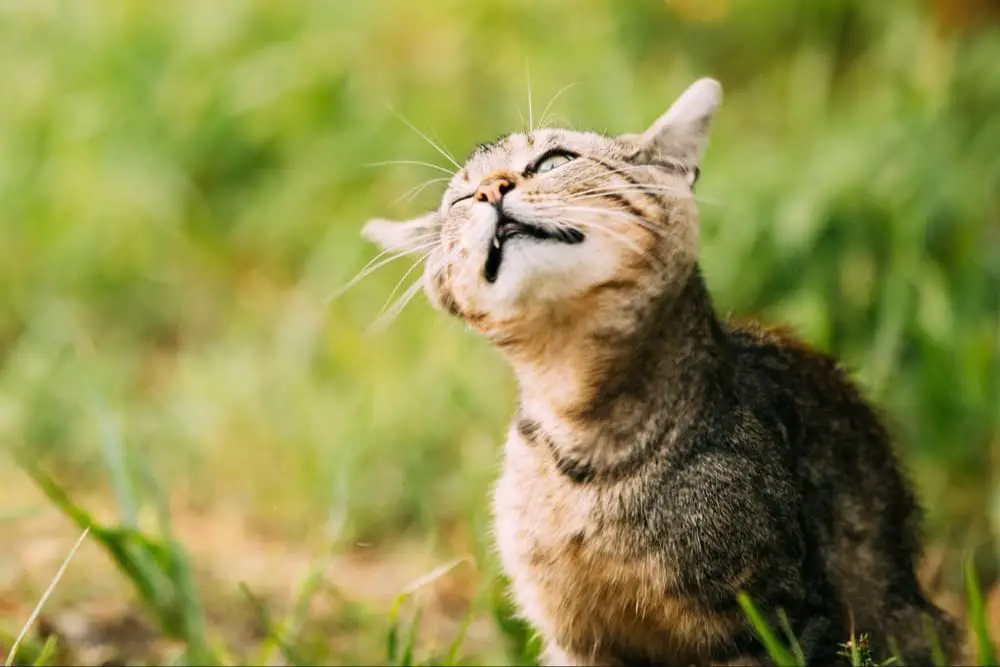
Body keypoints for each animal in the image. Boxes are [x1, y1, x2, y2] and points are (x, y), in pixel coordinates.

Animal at [362, 79, 960, 667]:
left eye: (554, 162)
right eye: (462, 201)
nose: (492, 190)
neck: (586, 450)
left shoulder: (772, 620)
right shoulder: (575, 638)